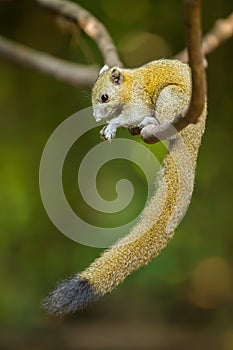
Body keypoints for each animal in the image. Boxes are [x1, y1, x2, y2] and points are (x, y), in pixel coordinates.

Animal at [44, 58, 208, 316]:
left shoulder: (139, 100)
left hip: (171, 98)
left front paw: (113, 125)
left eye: (104, 97)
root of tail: (194, 135)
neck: (129, 85)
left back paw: (151, 123)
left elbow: (130, 115)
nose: (95, 117)